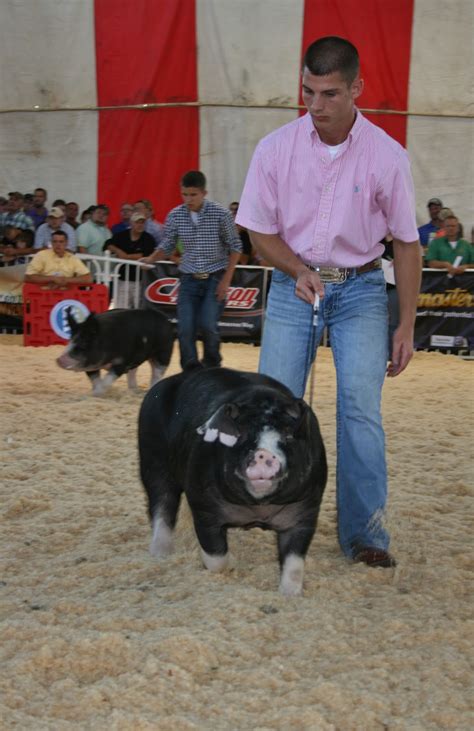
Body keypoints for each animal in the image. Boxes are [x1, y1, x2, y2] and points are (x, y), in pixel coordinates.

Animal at [139, 368, 328, 596]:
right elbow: (215, 554)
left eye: (289, 435)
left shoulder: (306, 511)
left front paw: (290, 594)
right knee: (161, 504)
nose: (263, 453)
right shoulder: (204, 507)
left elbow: (294, 562)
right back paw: (160, 553)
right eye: (241, 434)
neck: (258, 507)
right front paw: (232, 565)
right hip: (152, 458)